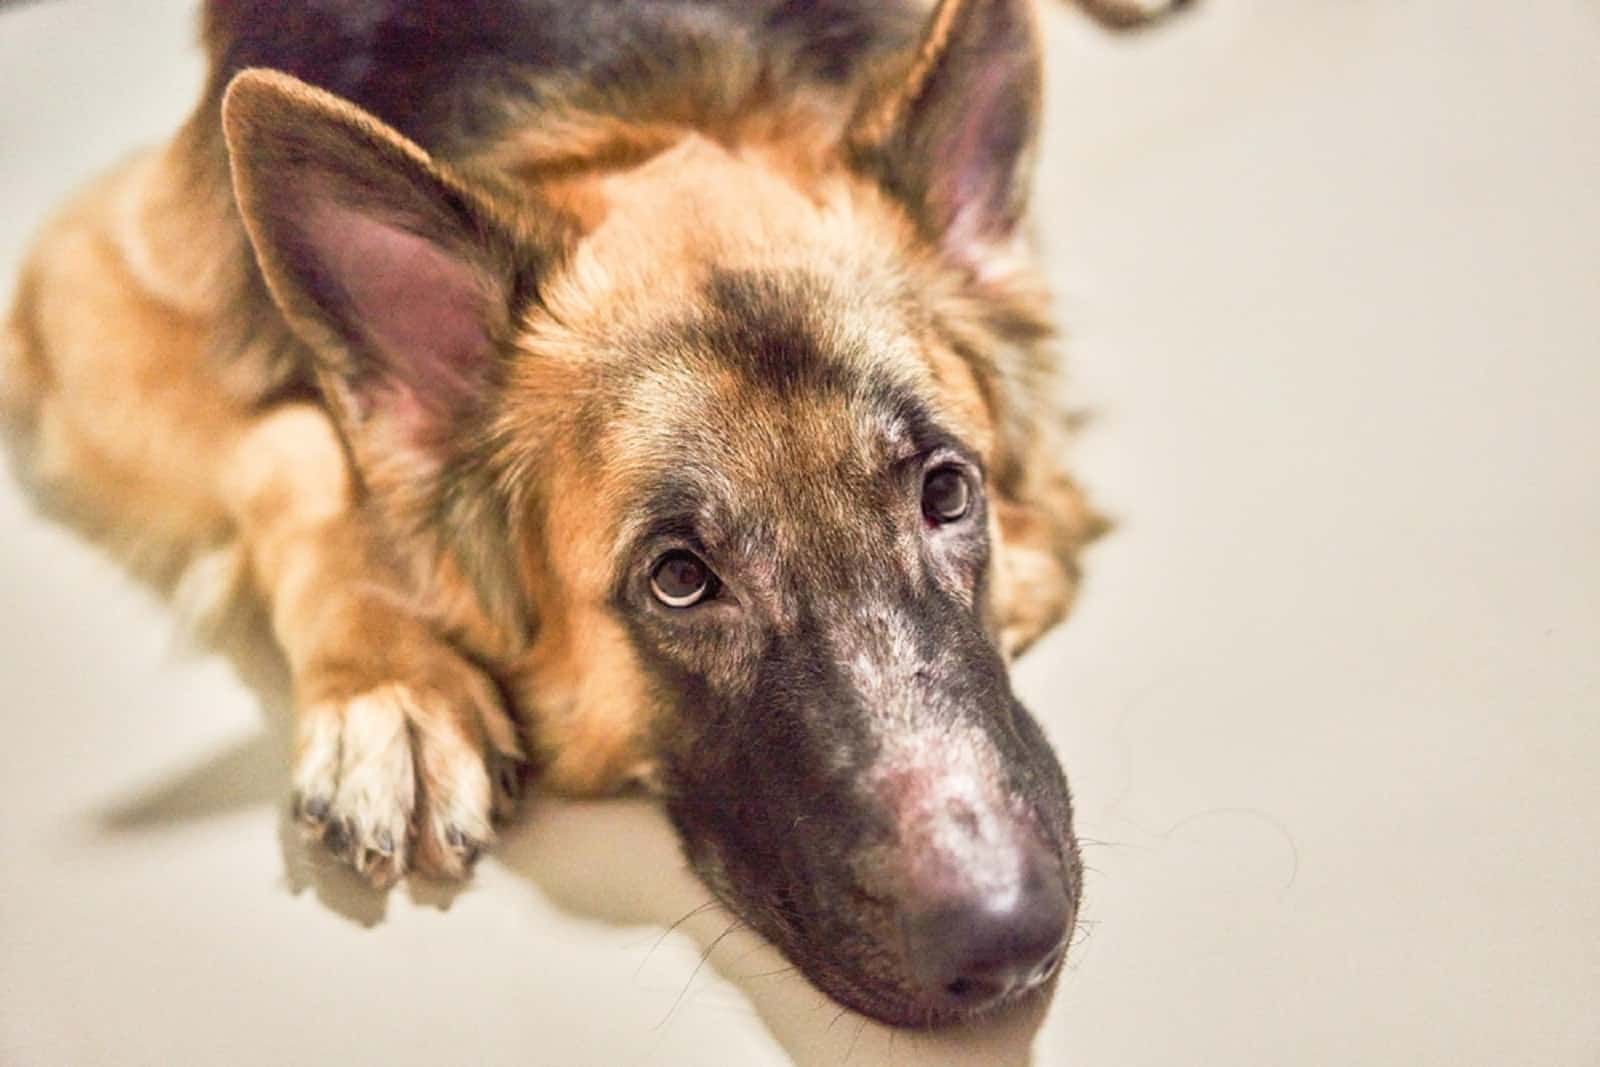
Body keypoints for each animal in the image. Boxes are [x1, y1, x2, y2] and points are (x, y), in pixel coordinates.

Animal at [6, 0, 1184, 1030]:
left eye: (944, 491)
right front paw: (393, 686)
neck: (624, 85)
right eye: (679, 577)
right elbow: (290, 444)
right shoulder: (85, 283)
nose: (1006, 940)